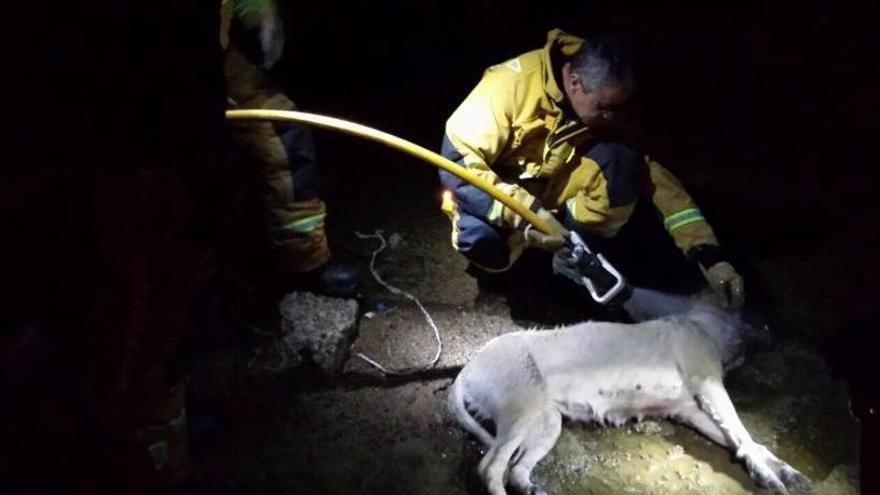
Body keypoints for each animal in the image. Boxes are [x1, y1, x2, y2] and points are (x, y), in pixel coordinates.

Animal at [450, 288, 808, 495]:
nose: (777, 332)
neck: (705, 325)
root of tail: (466, 371)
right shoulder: (708, 382)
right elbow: (742, 432)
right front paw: (770, 478)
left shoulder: (689, 410)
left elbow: (744, 439)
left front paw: (789, 472)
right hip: (522, 407)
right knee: (490, 469)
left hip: (547, 421)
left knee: (516, 469)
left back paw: (533, 489)